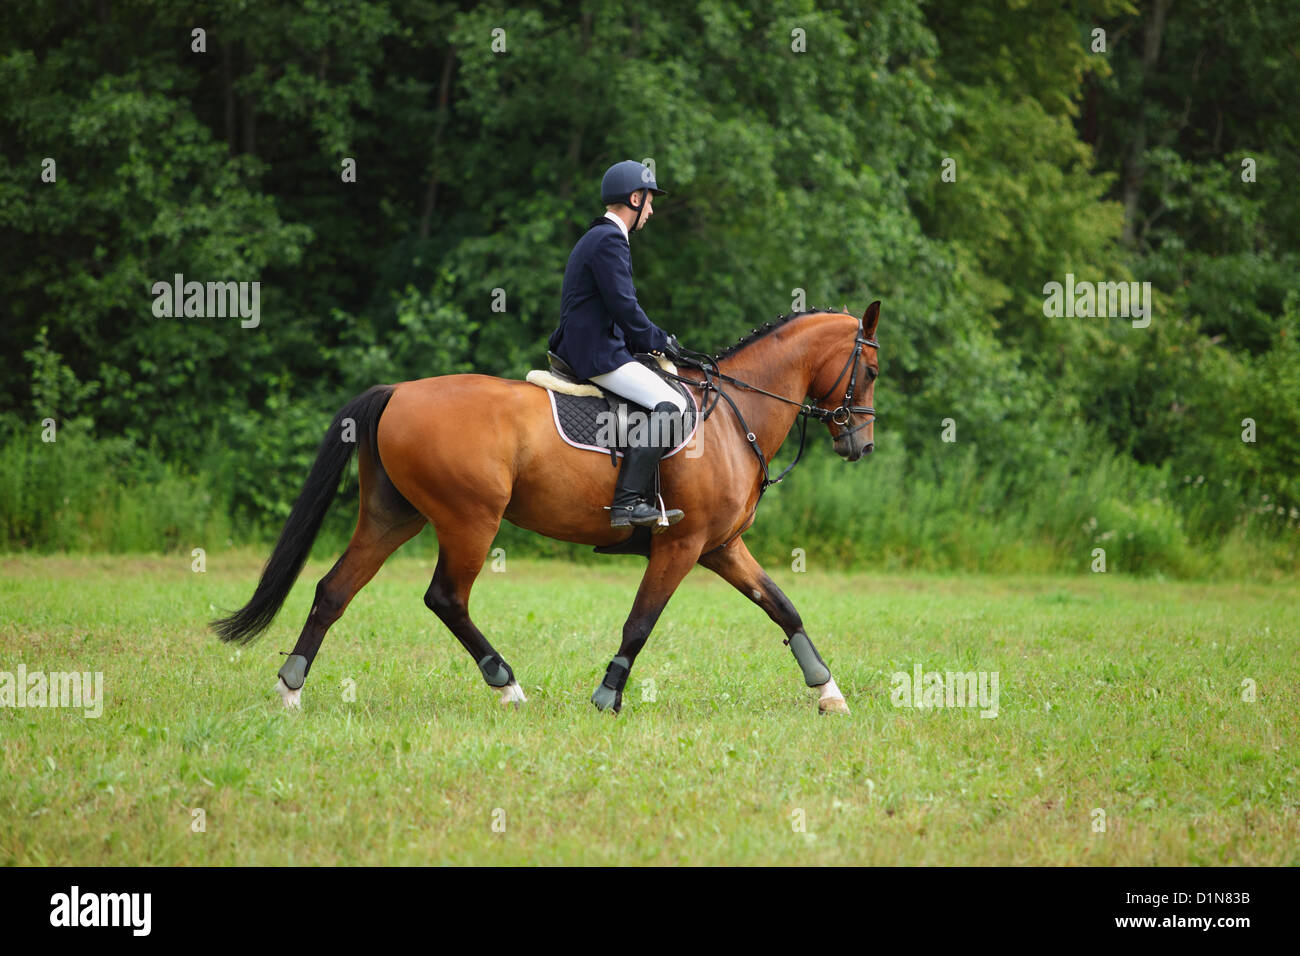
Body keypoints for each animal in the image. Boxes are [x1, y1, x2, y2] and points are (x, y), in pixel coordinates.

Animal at [211, 301, 881, 715]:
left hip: (391, 517)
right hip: (470, 520)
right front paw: (607, 698)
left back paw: (290, 691)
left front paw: (829, 692)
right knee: (446, 598)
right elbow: (640, 622)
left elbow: (784, 609)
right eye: (871, 369)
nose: (861, 445)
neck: (733, 416)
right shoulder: (681, 546)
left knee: (334, 589)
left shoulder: (721, 547)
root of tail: (398, 390)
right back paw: (507, 687)